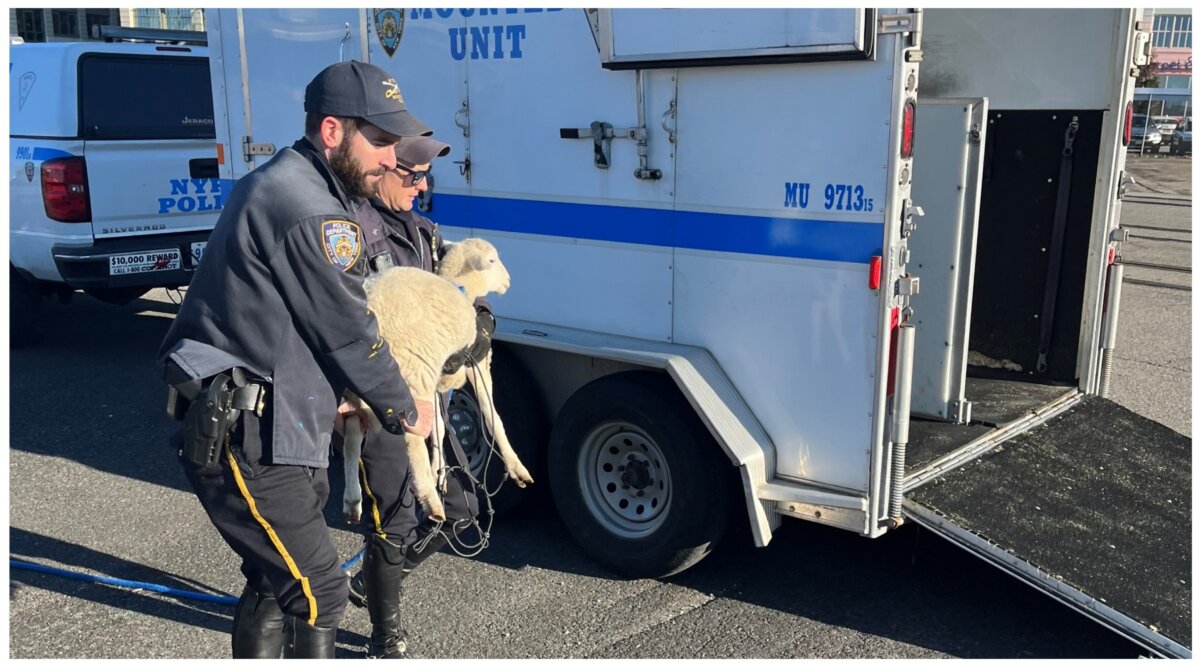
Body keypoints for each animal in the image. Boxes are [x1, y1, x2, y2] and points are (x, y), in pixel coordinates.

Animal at [340, 239, 532, 525]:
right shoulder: (473, 363)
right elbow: (492, 416)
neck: (461, 289)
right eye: (492, 260)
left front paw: (440, 469)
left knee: (351, 439)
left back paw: (352, 501)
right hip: (408, 371)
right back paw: (430, 499)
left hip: (351, 390)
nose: (508, 281)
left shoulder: (439, 376)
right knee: (411, 438)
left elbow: (440, 425)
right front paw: (516, 466)